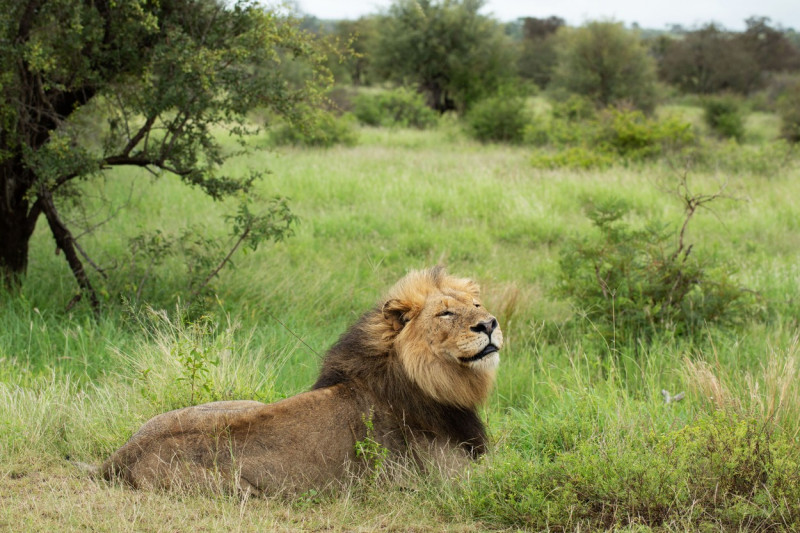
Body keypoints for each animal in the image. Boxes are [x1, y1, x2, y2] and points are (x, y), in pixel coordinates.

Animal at [98, 266, 500, 494]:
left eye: (476, 306)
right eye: (445, 313)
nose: (489, 324)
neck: (440, 381)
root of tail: (119, 456)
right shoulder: (444, 479)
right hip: (240, 490)